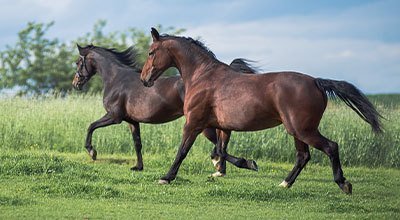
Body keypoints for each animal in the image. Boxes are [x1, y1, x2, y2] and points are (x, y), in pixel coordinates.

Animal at [70, 43, 258, 174]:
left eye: (78, 62)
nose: (75, 83)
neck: (116, 79)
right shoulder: (132, 121)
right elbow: (137, 143)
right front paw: (138, 167)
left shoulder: (114, 116)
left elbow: (91, 126)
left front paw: (92, 152)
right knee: (221, 143)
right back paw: (222, 168)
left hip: (202, 125)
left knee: (219, 144)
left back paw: (237, 165)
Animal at [140, 27, 382, 194]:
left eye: (151, 52)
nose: (144, 79)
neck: (202, 76)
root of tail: (316, 82)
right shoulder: (223, 127)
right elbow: (220, 150)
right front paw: (245, 163)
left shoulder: (193, 123)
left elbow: (183, 151)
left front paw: (166, 177)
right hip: (297, 131)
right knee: (303, 156)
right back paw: (285, 183)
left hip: (302, 129)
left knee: (331, 147)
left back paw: (343, 184)